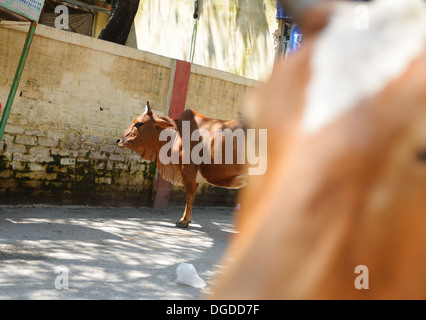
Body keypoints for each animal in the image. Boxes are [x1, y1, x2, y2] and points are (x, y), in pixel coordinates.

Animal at [118, 102, 248, 228]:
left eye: (139, 123)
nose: (119, 140)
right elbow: (192, 196)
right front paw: (185, 219)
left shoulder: (188, 171)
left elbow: (189, 197)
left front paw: (184, 221)